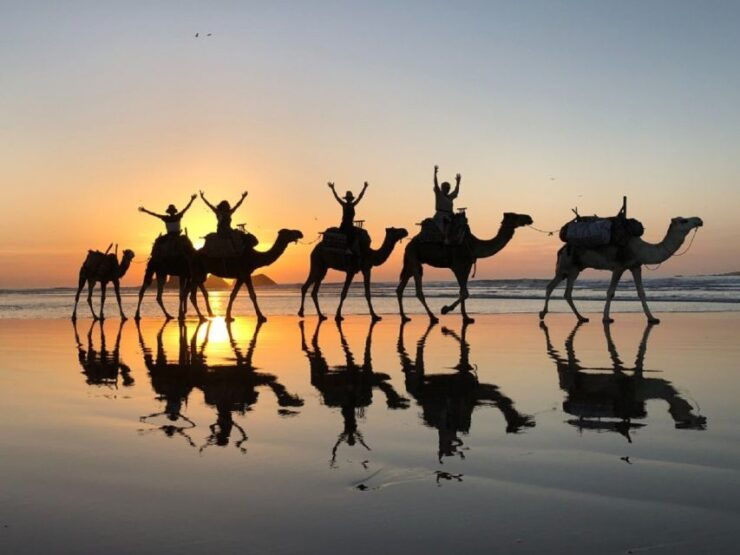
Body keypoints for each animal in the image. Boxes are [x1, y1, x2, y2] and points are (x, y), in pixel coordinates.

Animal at [397, 212, 533, 323]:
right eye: (515, 216)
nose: (529, 218)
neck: (474, 245)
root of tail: (409, 244)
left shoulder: (467, 266)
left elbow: (463, 291)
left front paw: (466, 317)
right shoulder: (458, 266)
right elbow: (465, 292)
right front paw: (446, 309)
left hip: (410, 263)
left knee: (400, 288)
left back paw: (405, 317)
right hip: (414, 258)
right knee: (418, 289)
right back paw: (432, 317)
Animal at [539, 216, 703, 324]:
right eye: (684, 221)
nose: (699, 220)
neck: (640, 248)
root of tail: (561, 249)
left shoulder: (635, 266)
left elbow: (641, 292)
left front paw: (652, 318)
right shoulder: (619, 267)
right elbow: (611, 292)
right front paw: (606, 318)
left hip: (574, 269)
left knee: (566, 292)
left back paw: (582, 317)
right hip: (565, 266)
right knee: (550, 286)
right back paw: (543, 313)